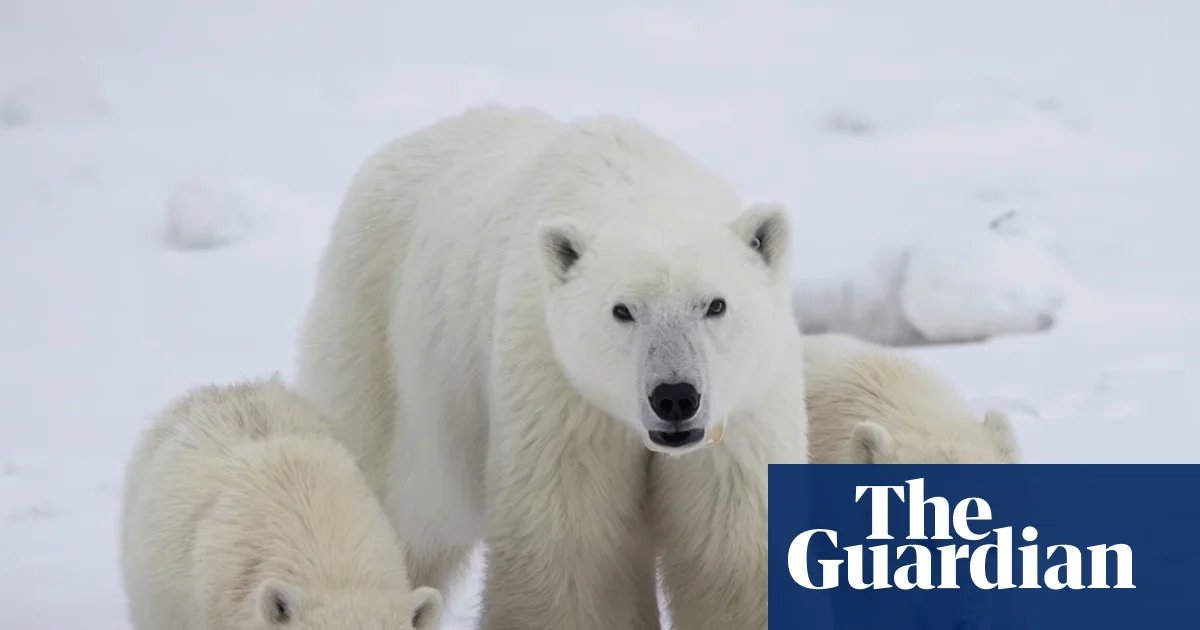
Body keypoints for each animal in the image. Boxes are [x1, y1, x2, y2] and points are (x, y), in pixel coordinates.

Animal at [295, 106, 809, 630]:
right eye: (622, 310)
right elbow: (571, 558)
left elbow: (733, 559)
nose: (675, 397)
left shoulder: (742, 415)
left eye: (715, 304)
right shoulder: (559, 393)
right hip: (382, 358)